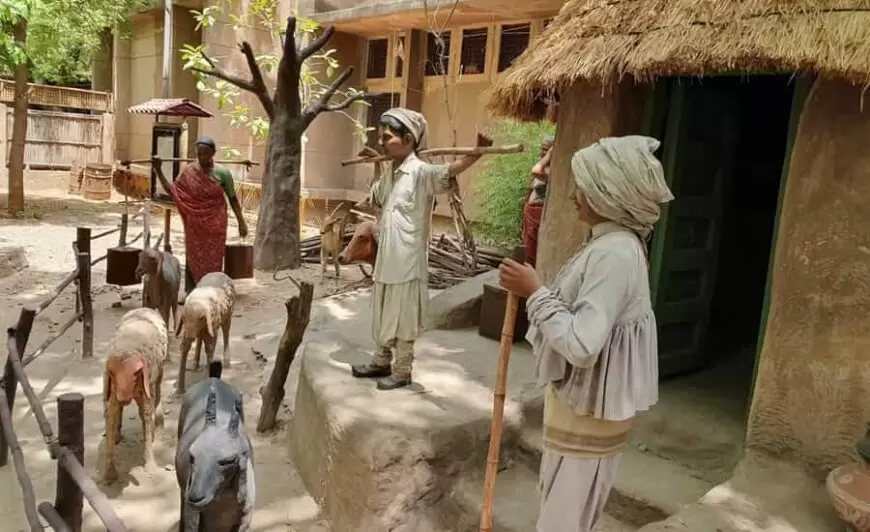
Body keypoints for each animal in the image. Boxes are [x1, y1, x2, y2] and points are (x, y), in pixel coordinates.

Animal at [102, 307, 168, 483]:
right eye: (112, 373)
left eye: (136, 373)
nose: (124, 398)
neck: (127, 349)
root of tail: (146, 308)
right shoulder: (111, 388)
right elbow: (111, 414)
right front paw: (110, 476)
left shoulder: (145, 383)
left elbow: (146, 413)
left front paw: (150, 467)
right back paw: (118, 435)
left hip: (159, 370)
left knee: (158, 391)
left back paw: (158, 427)